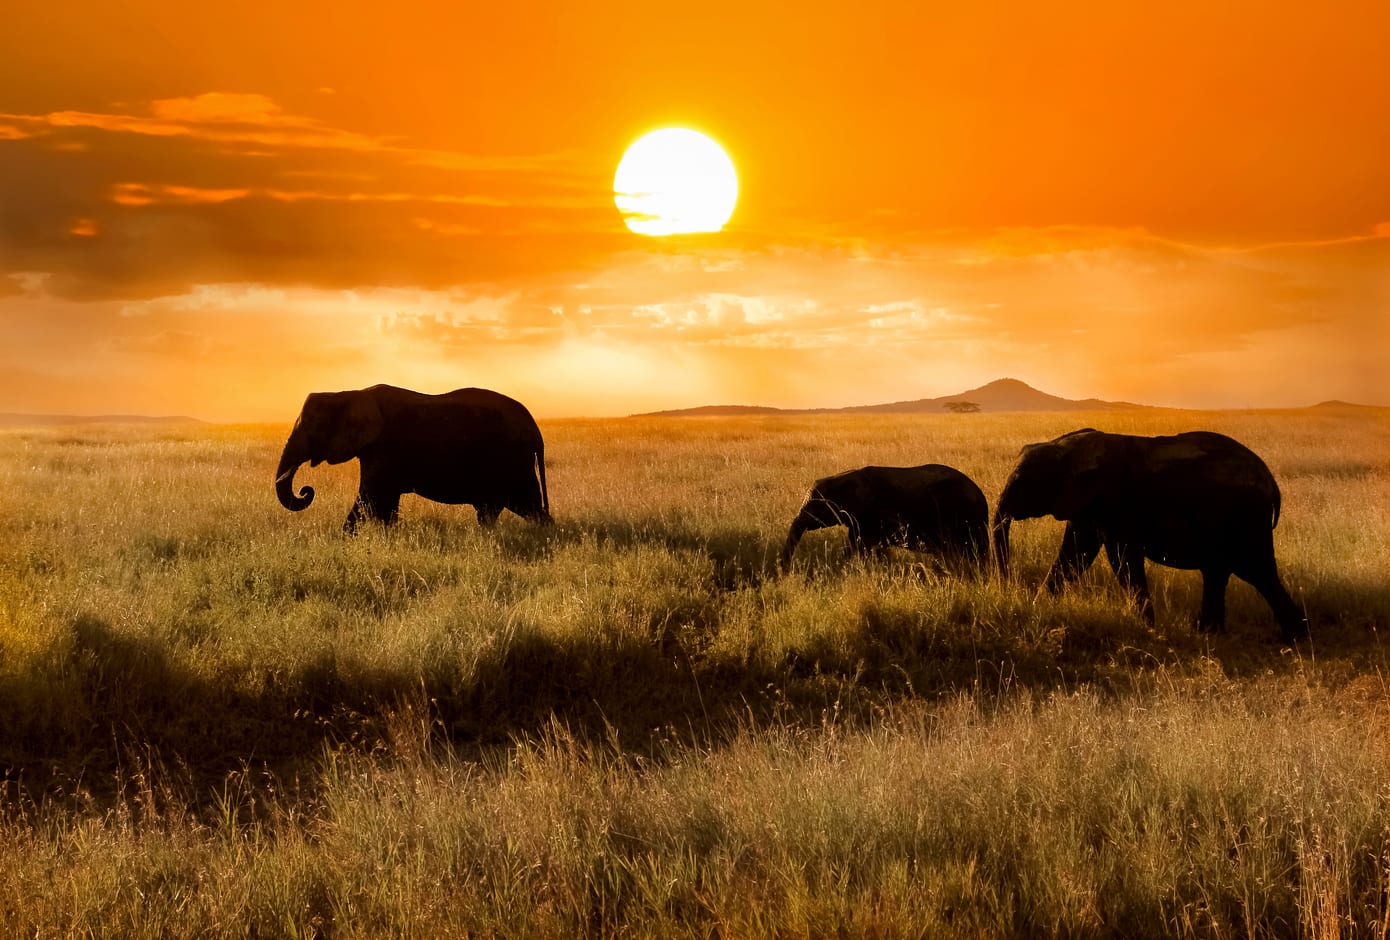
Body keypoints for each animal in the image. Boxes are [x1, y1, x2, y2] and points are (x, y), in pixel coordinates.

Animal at [273, 381, 550, 528]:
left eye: (311, 427)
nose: (306, 490)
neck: (351, 393)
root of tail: (535, 428)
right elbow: (383, 505)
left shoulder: (383, 447)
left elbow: (369, 499)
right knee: (502, 510)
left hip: (512, 461)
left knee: (526, 507)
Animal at [783, 461, 989, 572]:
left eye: (816, 507)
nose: (784, 569)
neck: (848, 476)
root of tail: (981, 495)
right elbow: (855, 545)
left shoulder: (871, 515)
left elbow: (863, 545)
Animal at [995, 428, 1306, 642]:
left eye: (1021, 483)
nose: (1008, 587)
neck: (1067, 447)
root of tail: (1272, 483)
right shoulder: (1085, 505)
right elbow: (1074, 554)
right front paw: (1038, 609)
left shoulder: (1115, 504)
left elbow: (1122, 560)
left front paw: (1147, 629)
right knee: (1221, 572)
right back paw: (1210, 633)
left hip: (1246, 518)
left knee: (1257, 572)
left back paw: (1293, 638)